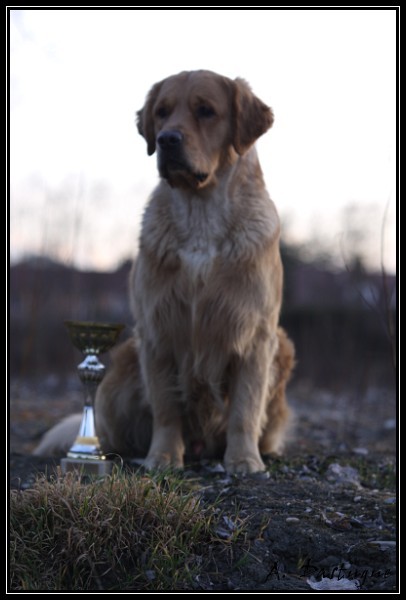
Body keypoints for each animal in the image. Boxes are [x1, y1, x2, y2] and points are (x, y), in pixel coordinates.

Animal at [34, 70, 294, 474]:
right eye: (162, 112)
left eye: (206, 110)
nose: (166, 139)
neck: (201, 211)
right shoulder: (158, 329)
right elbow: (167, 407)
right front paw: (163, 457)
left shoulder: (256, 332)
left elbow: (245, 408)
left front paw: (244, 460)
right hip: (125, 360)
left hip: (283, 345)